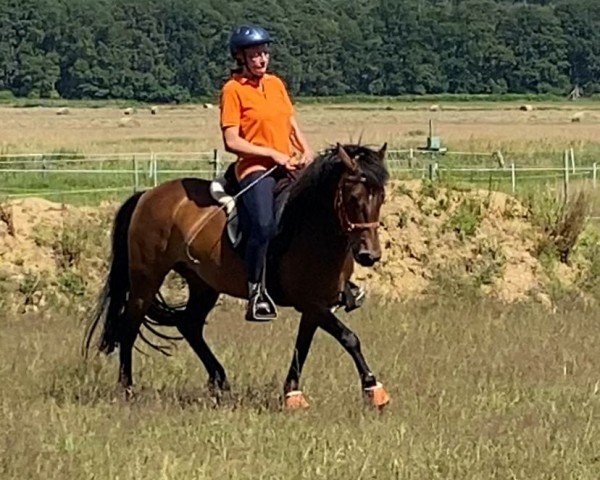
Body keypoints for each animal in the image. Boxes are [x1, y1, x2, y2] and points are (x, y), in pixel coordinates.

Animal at [86, 142, 392, 408]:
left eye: (381, 197)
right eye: (353, 197)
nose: (369, 255)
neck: (311, 226)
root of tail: (147, 195)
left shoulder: (316, 305)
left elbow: (302, 346)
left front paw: (292, 393)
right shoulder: (311, 303)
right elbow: (349, 338)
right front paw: (373, 389)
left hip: (203, 284)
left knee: (189, 324)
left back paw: (219, 380)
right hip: (146, 279)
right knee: (130, 325)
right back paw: (127, 389)